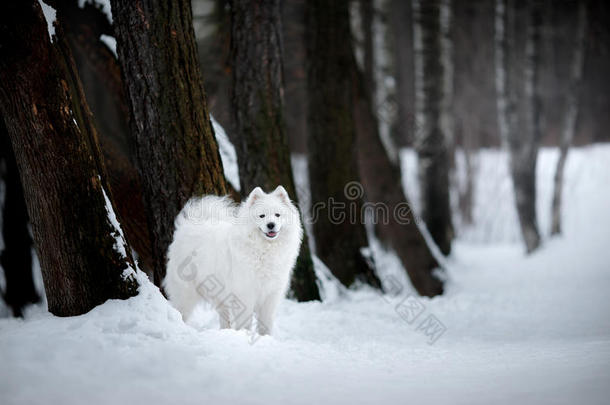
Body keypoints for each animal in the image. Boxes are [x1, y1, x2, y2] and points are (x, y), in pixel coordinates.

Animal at [164, 186, 302, 334]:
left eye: (277, 215)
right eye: (262, 216)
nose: (271, 225)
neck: (264, 249)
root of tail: (189, 225)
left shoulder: (271, 295)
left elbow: (266, 323)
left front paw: (266, 337)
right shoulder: (245, 293)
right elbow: (245, 321)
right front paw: (246, 335)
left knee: (224, 316)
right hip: (186, 292)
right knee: (181, 310)